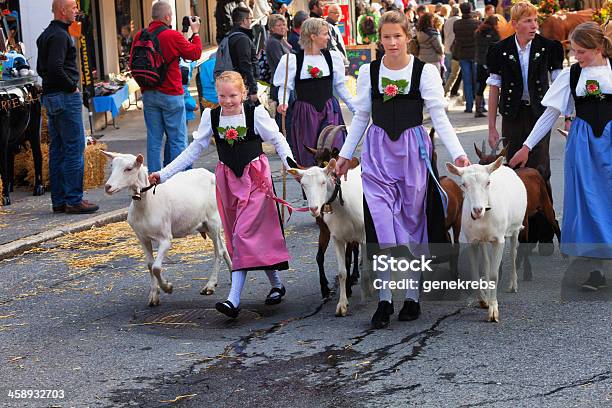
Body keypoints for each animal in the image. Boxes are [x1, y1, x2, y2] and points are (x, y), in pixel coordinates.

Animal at [103, 152, 232, 306]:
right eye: (112, 166)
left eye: (128, 169)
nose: (108, 187)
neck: (147, 203)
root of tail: (210, 174)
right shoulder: (142, 237)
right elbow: (149, 265)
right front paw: (154, 296)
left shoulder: (165, 238)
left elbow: (156, 267)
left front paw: (168, 287)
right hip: (205, 225)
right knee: (223, 247)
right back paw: (232, 275)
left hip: (213, 220)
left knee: (218, 252)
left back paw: (210, 285)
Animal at [290, 159, 376, 316]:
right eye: (303, 184)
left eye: (323, 182)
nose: (314, 209)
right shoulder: (337, 238)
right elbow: (342, 272)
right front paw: (342, 304)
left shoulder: (365, 237)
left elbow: (366, 265)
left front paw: (367, 290)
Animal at [444, 158, 524, 324]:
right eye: (463, 184)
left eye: (488, 182)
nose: (477, 210)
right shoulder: (473, 240)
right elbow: (476, 272)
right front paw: (483, 301)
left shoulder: (499, 239)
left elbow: (494, 274)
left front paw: (493, 310)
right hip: (484, 240)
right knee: (487, 263)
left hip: (515, 227)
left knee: (513, 253)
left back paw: (513, 284)